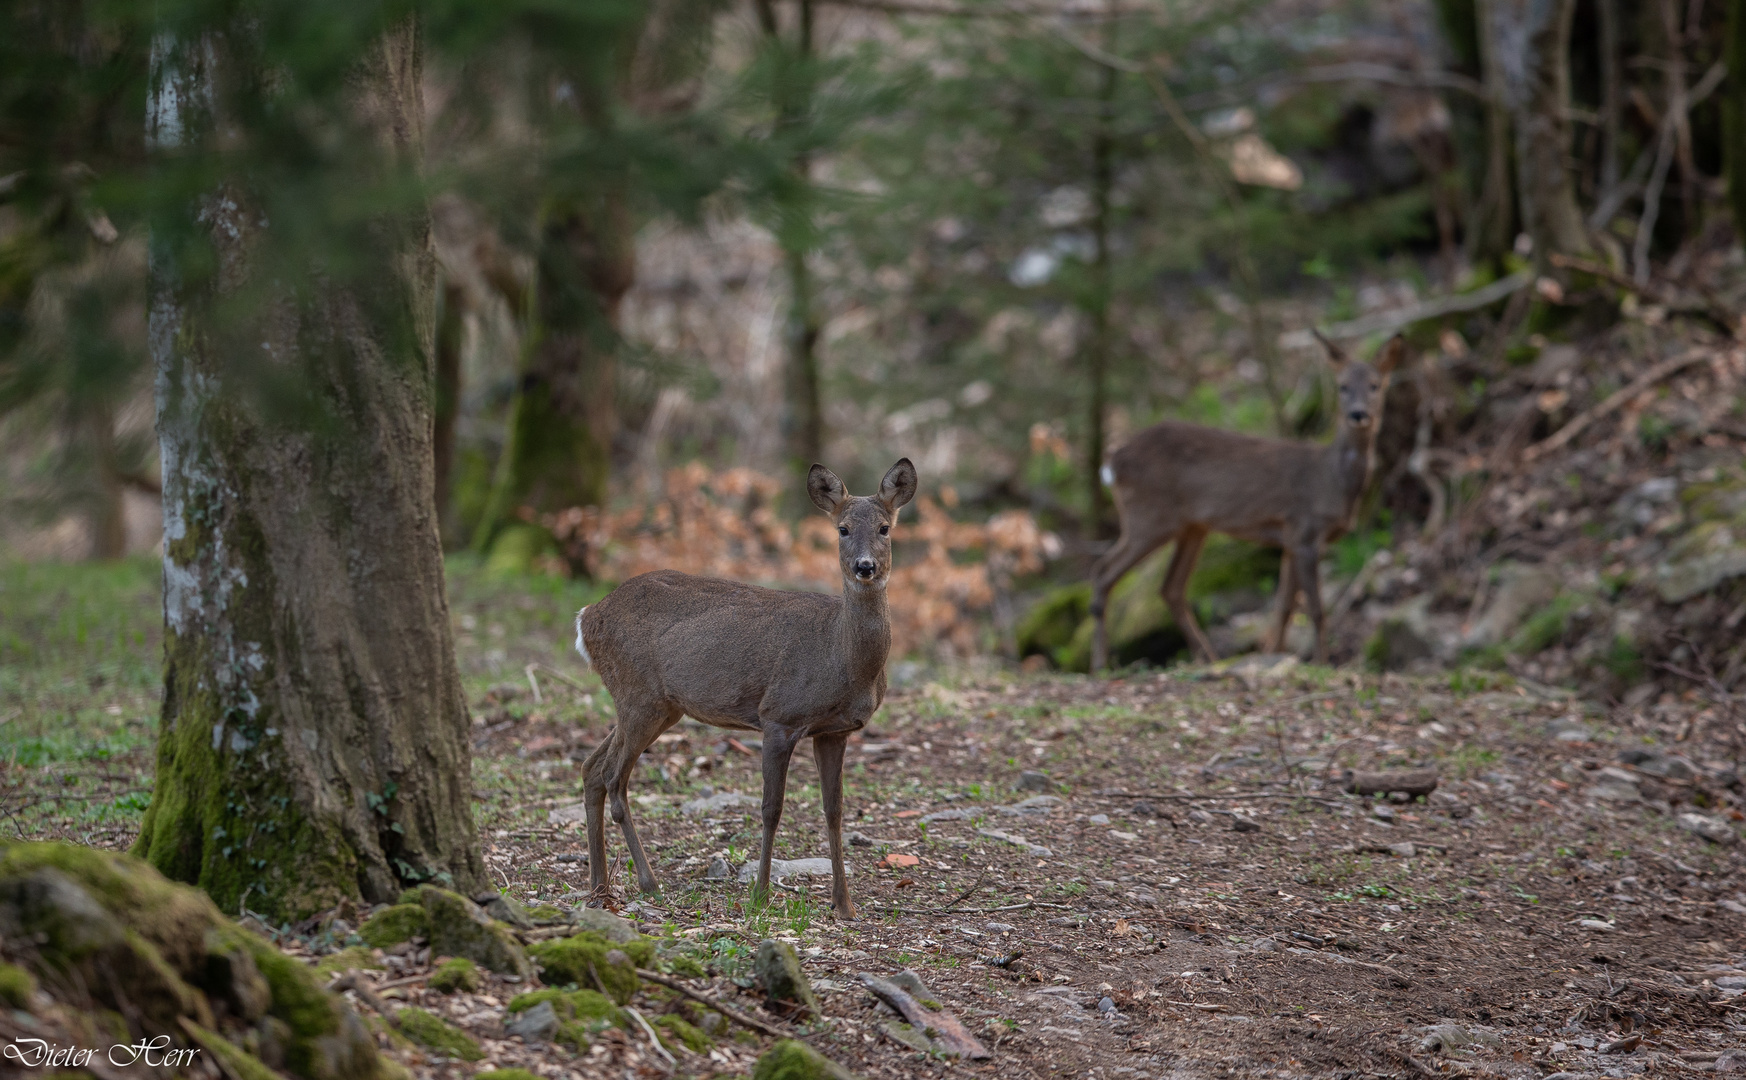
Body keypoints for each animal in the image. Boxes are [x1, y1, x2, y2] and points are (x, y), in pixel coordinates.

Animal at [576, 457, 928, 921]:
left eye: (886, 527)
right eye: (843, 529)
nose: (865, 567)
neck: (842, 657)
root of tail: (587, 616)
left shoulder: (834, 731)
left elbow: (834, 810)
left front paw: (845, 904)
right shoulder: (778, 716)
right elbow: (771, 809)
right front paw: (760, 893)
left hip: (655, 704)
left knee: (592, 768)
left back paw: (599, 885)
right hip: (639, 695)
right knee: (615, 778)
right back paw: (648, 882)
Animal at [1089, 333, 1403, 673]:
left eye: (1375, 385)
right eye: (1342, 386)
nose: (1358, 414)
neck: (1331, 480)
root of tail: (1114, 462)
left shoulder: (1290, 539)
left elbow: (1284, 605)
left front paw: (1277, 654)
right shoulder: (1305, 530)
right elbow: (1316, 608)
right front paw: (1320, 663)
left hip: (1192, 527)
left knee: (1170, 587)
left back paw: (1209, 659)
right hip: (1149, 517)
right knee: (1103, 570)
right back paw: (1100, 663)